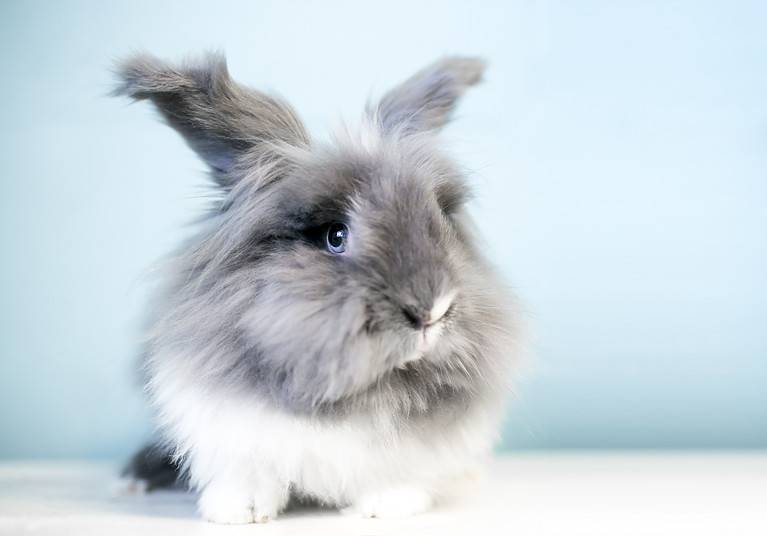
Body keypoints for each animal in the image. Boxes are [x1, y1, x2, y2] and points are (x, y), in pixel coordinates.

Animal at [114, 52, 518, 524]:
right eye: (334, 236)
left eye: (439, 219)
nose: (431, 310)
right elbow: (248, 470)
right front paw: (238, 510)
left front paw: (387, 504)